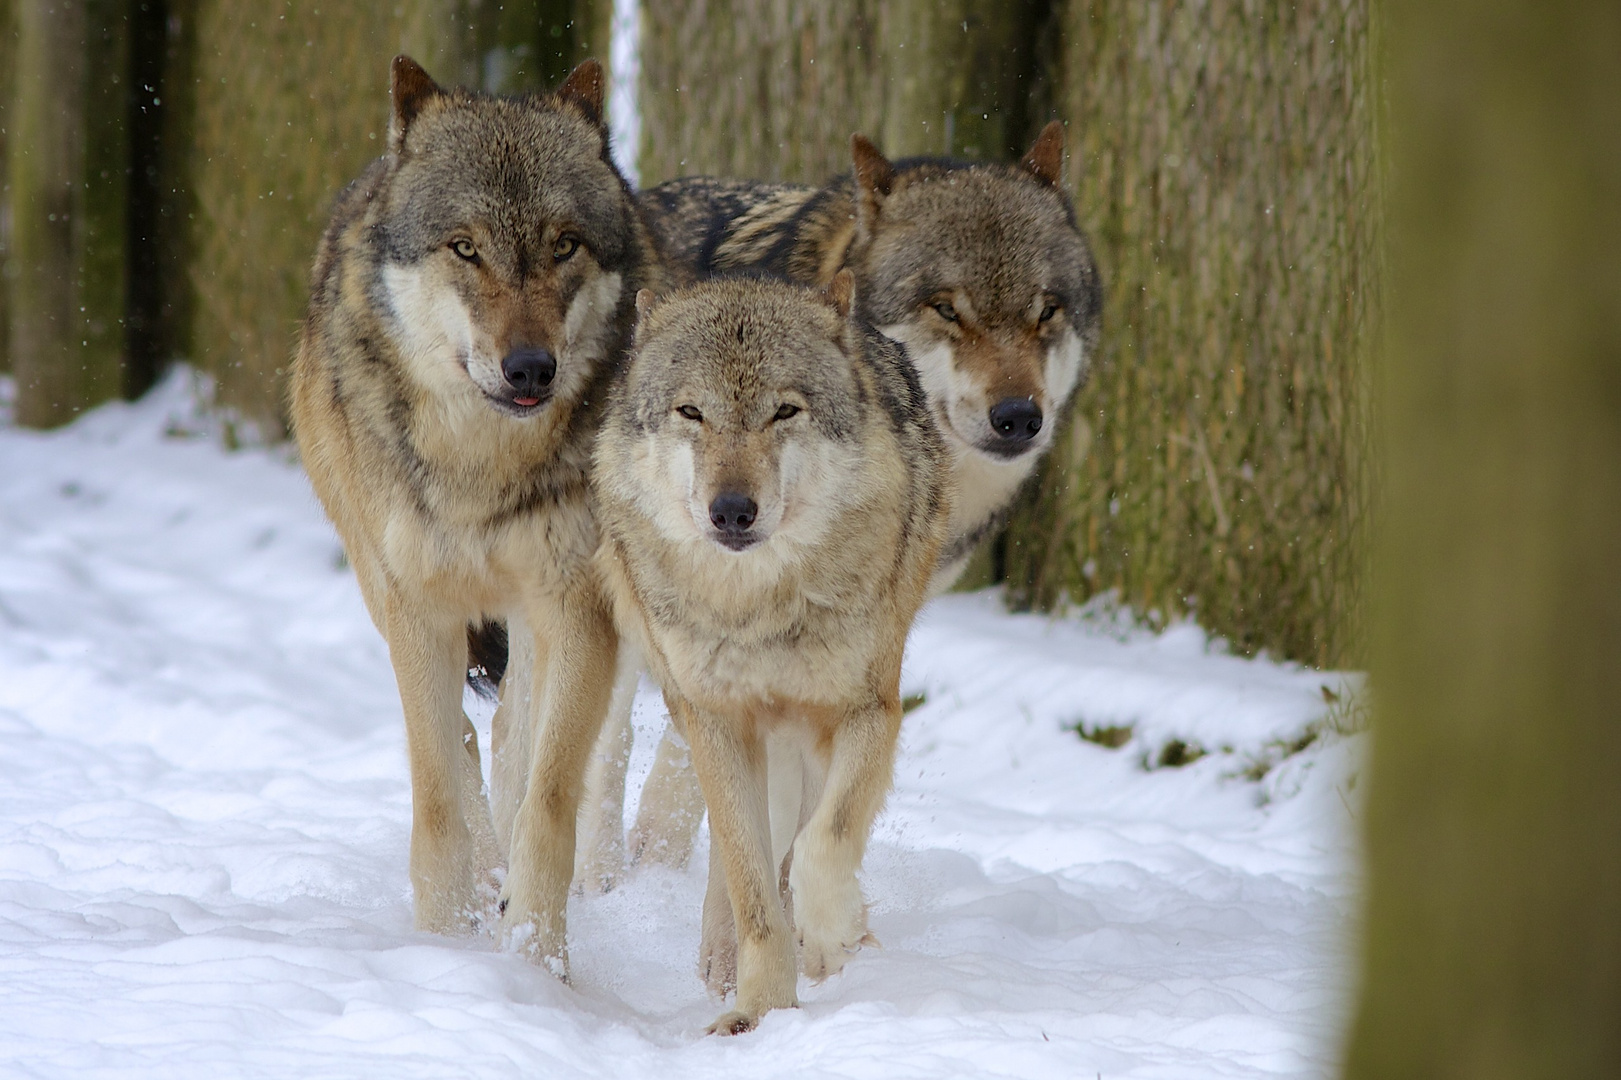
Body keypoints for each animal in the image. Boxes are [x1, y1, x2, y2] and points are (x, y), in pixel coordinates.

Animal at [286, 52, 658, 966]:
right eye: (465, 248)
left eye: (563, 245)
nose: (530, 369)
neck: (482, 466)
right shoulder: (417, 606)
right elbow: (437, 794)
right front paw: (444, 934)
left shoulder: (574, 608)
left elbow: (547, 796)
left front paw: (536, 957)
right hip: (384, 590)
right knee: (457, 738)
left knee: (509, 743)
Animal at [593, 274, 946, 1031]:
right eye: (691, 412)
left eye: (784, 411)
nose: (731, 510)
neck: (760, 608)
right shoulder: (717, 721)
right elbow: (750, 881)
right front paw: (757, 1008)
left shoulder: (868, 711)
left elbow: (821, 844)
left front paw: (833, 934)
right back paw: (723, 956)